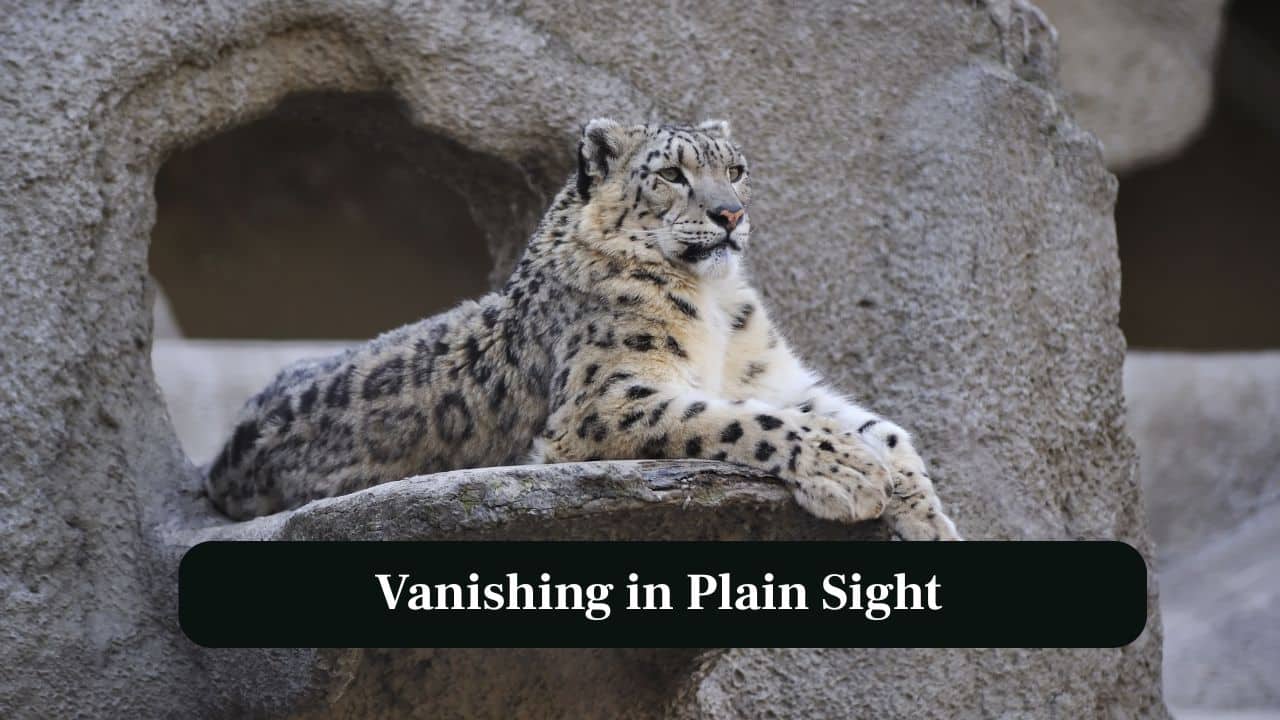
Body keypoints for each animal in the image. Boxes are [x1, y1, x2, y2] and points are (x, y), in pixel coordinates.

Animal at [204, 118, 961, 541]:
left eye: (736, 168)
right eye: (672, 174)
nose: (730, 214)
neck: (718, 308)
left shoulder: (774, 378)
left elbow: (882, 426)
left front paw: (928, 517)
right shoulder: (609, 397)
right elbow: (747, 421)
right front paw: (848, 472)